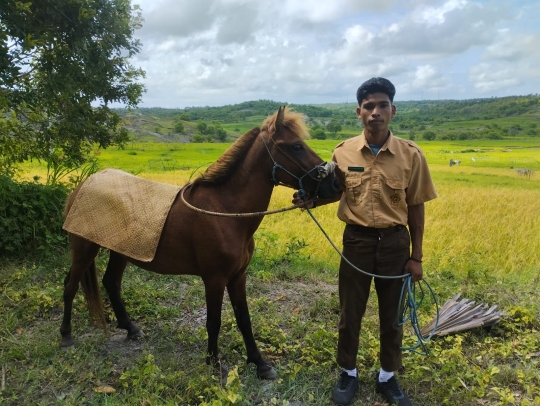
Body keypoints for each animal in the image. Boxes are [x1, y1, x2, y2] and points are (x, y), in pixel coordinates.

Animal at [61, 106, 340, 380]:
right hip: (85, 248)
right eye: (296, 146)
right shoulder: (214, 279)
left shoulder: (238, 276)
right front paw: (214, 364)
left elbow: (244, 319)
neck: (226, 211)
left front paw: (259, 363)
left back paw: (130, 328)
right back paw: (66, 336)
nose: (334, 184)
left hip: (122, 250)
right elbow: (214, 321)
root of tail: (83, 185)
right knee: (71, 286)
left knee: (111, 282)